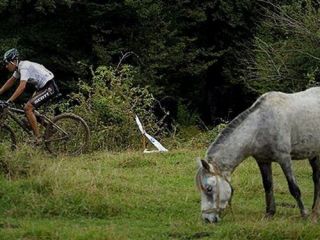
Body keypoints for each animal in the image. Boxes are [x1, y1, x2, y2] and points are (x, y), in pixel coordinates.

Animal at [195, 87, 320, 223]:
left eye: (209, 188)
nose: (207, 219)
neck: (261, 126)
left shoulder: (285, 159)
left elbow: (294, 188)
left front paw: (304, 215)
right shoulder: (262, 160)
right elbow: (268, 185)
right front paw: (270, 213)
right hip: (314, 154)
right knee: (316, 179)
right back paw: (315, 211)